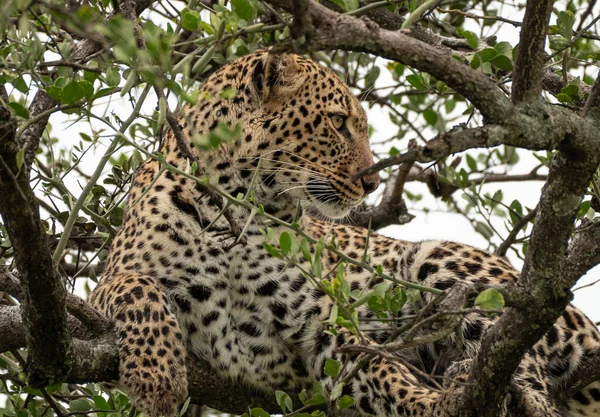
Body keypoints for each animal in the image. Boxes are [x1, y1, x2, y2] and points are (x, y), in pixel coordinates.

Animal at [89, 49, 600, 416]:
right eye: (337, 123)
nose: (372, 183)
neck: (236, 209)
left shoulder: (323, 325)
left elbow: (380, 367)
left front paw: (432, 403)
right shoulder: (107, 286)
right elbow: (140, 289)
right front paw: (157, 377)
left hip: (442, 263)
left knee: (514, 352)